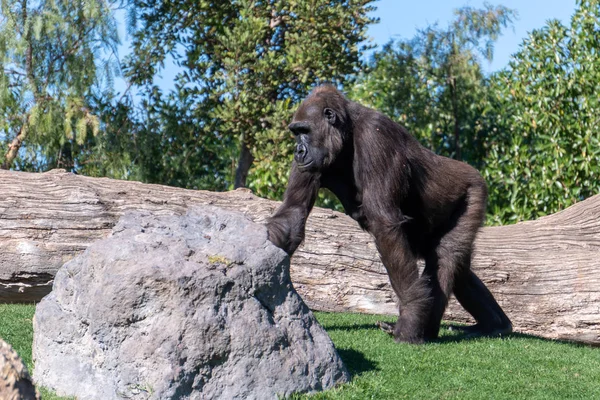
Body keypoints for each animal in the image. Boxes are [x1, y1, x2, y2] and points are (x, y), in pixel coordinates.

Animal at [266, 84, 510, 344]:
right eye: (295, 133)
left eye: (304, 130)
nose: (298, 151)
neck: (347, 130)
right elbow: (293, 214)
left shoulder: (375, 136)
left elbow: (385, 225)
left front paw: (410, 317)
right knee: (457, 268)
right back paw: (494, 324)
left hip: (473, 190)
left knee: (446, 256)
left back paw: (429, 329)